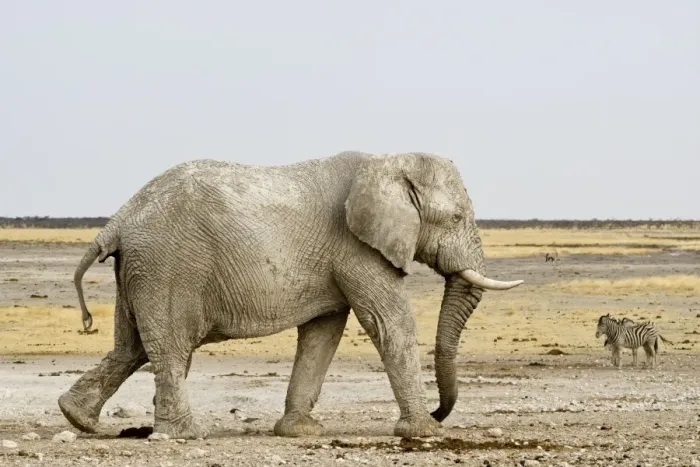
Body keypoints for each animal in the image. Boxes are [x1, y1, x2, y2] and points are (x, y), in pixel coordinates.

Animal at [58, 150, 523, 439]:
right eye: (457, 217)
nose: (440, 411)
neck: (387, 161)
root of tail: (118, 219)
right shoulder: (357, 247)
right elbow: (389, 324)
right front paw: (424, 432)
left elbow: (323, 334)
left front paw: (299, 432)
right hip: (168, 266)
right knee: (170, 346)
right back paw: (184, 435)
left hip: (140, 268)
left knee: (131, 346)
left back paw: (77, 418)